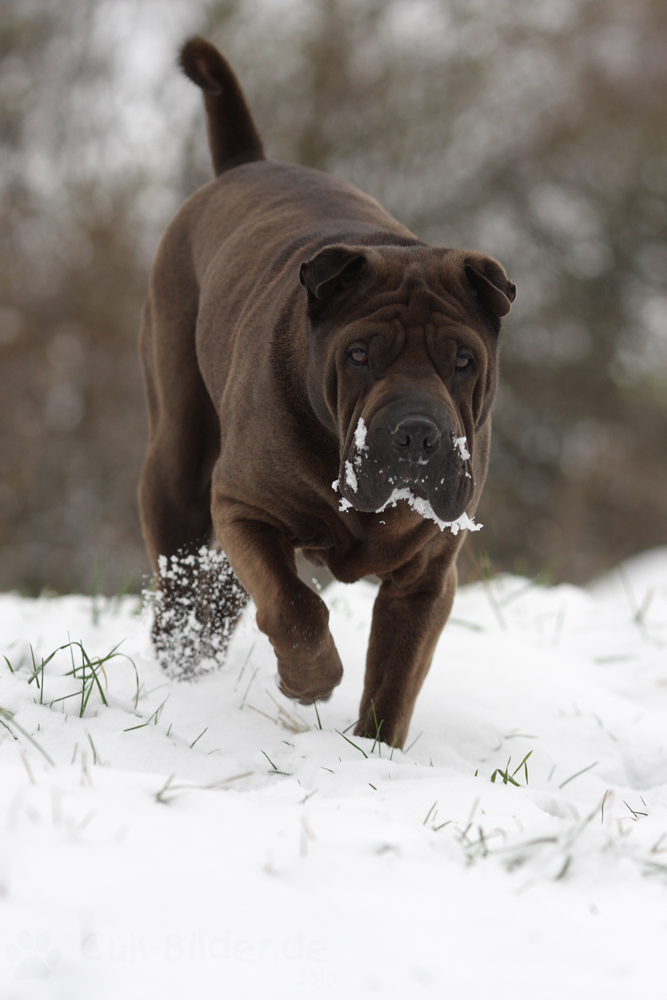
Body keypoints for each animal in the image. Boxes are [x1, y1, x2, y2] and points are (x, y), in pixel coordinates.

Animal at [140, 35, 516, 748]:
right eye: (360, 355)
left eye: (461, 360)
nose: (417, 433)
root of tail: (246, 165)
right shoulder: (244, 507)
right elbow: (295, 606)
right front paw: (310, 680)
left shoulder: (426, 578)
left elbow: (394, 677)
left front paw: (372, 753)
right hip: (179, 459)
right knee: (181, 586)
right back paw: (180, 669)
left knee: (220, 595)